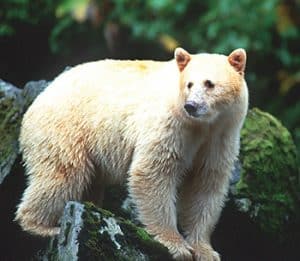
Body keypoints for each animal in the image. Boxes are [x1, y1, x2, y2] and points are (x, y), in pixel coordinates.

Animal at [15, 47, 248, 258]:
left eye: (209, 83)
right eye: (188, 84)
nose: (191, 105)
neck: (203, 125)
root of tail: (39, 98)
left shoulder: (220, 136)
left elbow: (206, 184)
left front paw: (205, 250)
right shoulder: (171, 125)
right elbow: (153, 173)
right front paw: (176, 245)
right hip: (66, 129)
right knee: (63, 175)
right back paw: (41, 226)